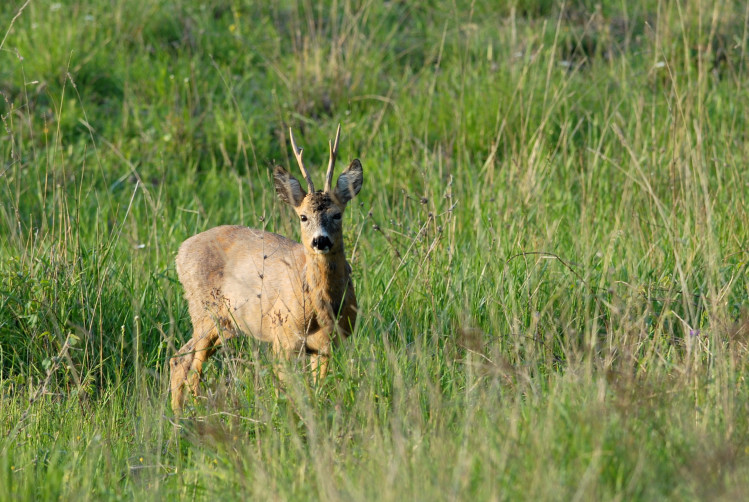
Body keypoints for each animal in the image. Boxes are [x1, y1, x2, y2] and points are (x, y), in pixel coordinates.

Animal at [172, 124, 366, 412]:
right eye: (303, 216)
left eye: (337, 214)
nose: (320, 240)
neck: (322, 306)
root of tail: (180, 252)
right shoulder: (282, 339)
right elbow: (286, 392)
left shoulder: (327, 346)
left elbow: (319, 391)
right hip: (205, 311)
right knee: (187, 363)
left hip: (224, 325)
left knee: (181, 359)